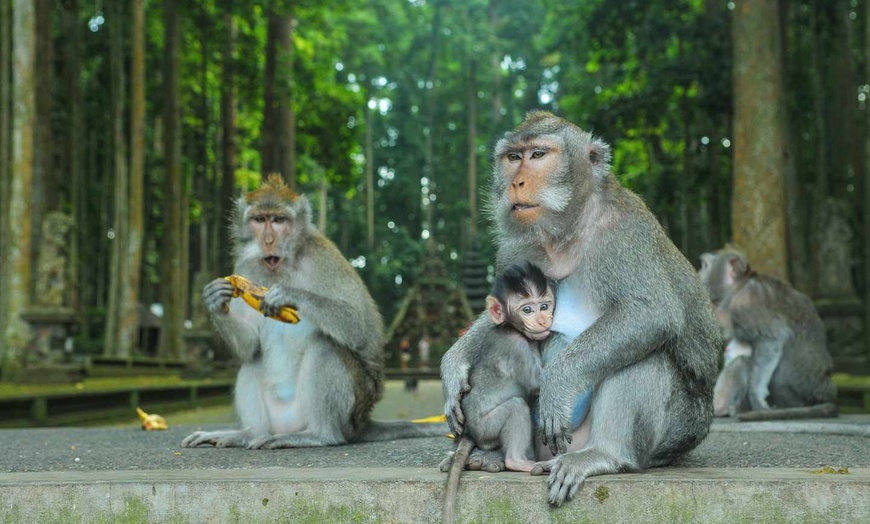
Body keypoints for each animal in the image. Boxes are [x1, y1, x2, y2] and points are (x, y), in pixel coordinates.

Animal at [181, 174, 446, 448]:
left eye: (279, 220)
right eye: (259, 220)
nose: (268, 241)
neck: (283, 267)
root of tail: (362, 422)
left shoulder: (324, 256)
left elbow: (359, 328)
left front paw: (288, 293)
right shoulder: (245, 267)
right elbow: (250, 347)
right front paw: (214, 300)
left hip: (350, 410)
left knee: (326, 345)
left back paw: (319, 434)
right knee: (252, 361)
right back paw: (247, 434)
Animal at [442, 264, 560, 524]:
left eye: (544, 305)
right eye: (527, 309)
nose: (543, 320)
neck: (510, 327)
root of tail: (471, 432)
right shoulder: (517, 347)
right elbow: (537, 381)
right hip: (487, 428)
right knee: (516, 407)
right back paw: (517, 462)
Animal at [700, 248, 836, 420]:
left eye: (704, 266)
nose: (697, 273)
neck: (739, 287)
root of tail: (824, 395)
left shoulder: (746, 304)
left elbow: (772, 340)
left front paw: (757, 398)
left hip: (789, 397)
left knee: (742, 363)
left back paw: (721, 408)